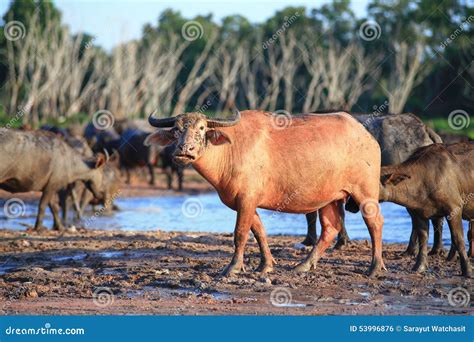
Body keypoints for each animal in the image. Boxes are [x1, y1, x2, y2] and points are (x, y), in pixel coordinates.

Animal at [145, 111, 386, 276]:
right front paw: (266, 265)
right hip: (330, 197)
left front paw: (233, 267)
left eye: (202, 128)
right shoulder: (244, 201)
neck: (229, 150)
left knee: (374, 222)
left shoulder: (247, 199)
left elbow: (240, 233)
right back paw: (303, 265)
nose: (185, 150)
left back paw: (375, 267)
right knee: (331, 228)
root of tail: (365, 134)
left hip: (365, 192)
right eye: (177, 129)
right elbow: (259, 231)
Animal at [376, 143, 472, 276]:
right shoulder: (419, 214)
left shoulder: (455, 208)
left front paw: (467, 270)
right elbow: (423, 239)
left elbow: (458, 239)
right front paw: (419, 266)